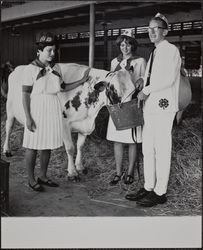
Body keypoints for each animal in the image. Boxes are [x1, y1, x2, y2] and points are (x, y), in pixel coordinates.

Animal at [2, 62, 138, 180]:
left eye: (134, 90)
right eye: (114, 91)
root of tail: (16, 68)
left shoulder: (84, 126)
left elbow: (80, 146)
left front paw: (80, 166)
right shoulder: (64, 125)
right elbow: (70, 148)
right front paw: (72, 172)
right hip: (10, 109)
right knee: (8, 127)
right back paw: (7, 150)